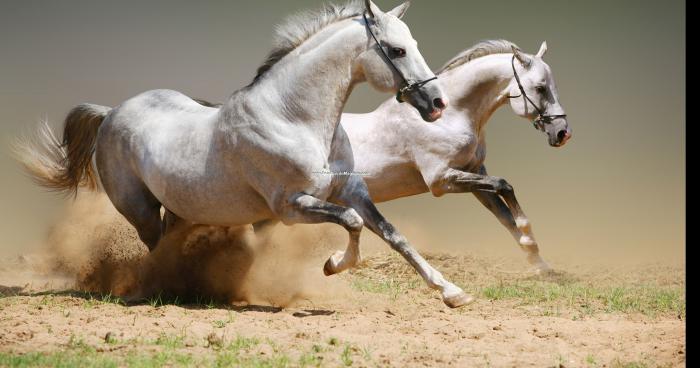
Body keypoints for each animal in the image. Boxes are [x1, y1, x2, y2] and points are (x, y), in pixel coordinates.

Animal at [19, 0, 476, 308]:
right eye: (397, 50)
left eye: (413, 43)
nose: (436, 103)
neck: (293, 118)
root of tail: (111, 112)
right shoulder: (290, 207)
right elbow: (351, 224)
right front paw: (332, 264)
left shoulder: (351, 191)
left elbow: (392, 234)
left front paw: (452, 292)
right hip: (140, 209)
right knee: (155, 249)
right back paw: (162, 289)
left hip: (181, 209)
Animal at [340, 40, 576, 272]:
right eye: (540, 88)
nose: (563, 133)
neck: (449, 117)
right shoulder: (440, 180)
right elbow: (504, 185)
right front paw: (528, 238)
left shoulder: (474, 174)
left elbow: (505, 215)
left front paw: (541, 265)